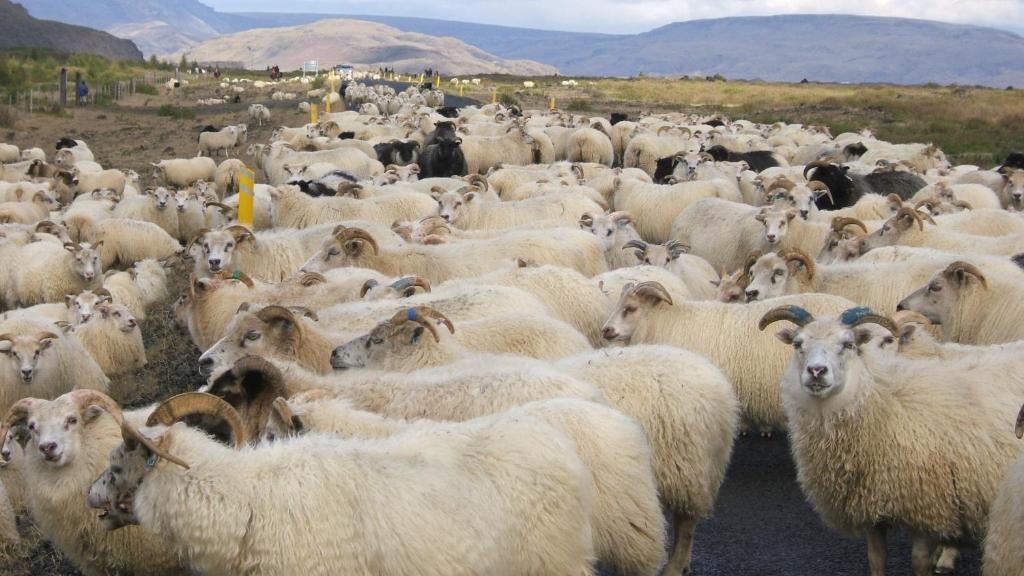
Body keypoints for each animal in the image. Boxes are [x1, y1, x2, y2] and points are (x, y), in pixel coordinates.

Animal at [761, 305, 1024, 573]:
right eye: (798, 344)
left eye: (848, 344)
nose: (816, 371)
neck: (885, 399)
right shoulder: (870, 508)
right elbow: (876, 557)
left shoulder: (928, 507)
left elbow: (919, 561)